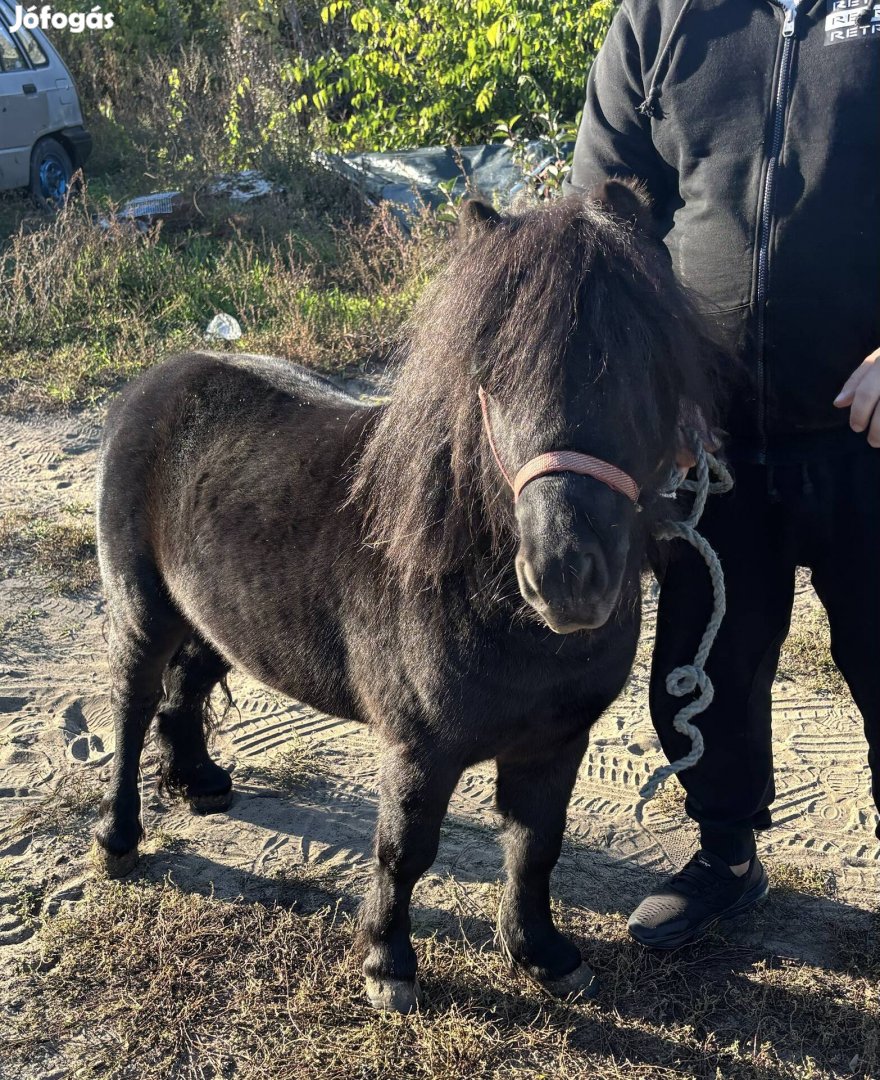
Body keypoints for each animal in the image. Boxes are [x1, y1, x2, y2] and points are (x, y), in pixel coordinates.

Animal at [92, 179, 721, 1010]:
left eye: (640, 361)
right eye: (492, 375)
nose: (565, 575)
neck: (488, 596)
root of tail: (159, 379)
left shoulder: (557, 743)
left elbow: (536, 846)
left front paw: (541, 953)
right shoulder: (420, 750)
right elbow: (405, 851)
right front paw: (388, 965)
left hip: (218, 617)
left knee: (186, 687)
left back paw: (198, 781)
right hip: (143, 611)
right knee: (133, 707)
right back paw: (118, 838)